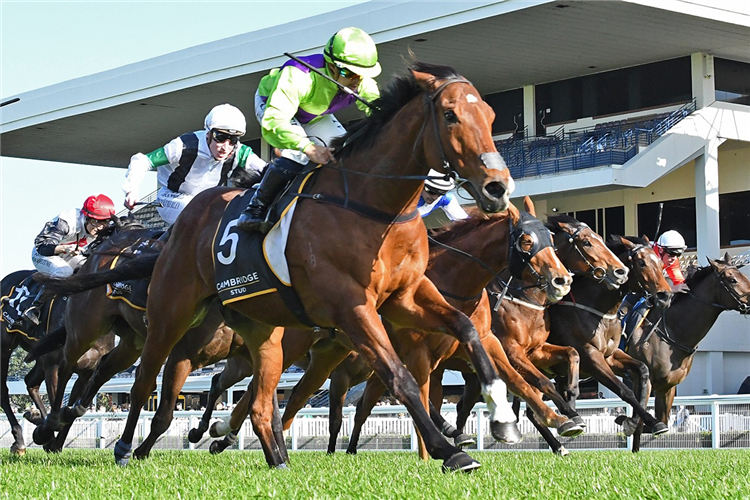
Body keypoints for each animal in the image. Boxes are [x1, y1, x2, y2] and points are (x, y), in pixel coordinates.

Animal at [100, 62, 516, 472]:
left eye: (491, 115)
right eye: (450, 115)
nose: (497, 187)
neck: (373, 207)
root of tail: (183, 217)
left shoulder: (406, 297)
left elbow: (466, 329)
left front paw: (501, 416)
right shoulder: (352, 308)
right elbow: (399, 377)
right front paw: (450, 451)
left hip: (262, 330)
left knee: (259, 400)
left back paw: (275, 458)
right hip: (172, 311)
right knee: (146, 378)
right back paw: (126, 448)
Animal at [548, 234, 676, 438]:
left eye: (661, 264)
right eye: (641, 263)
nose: (666, 296)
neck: (599, 312)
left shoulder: (610, 355)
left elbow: (642, 370)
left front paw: (642, 421)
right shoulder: (590, 357)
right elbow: (624, 391)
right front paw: (645, 421)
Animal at [628, 256, 750, 452]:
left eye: (744, 276)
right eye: (732, 279)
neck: (671, 331)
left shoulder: (667, 386)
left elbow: (661, 423)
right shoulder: (642, 380)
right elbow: (639, 423)